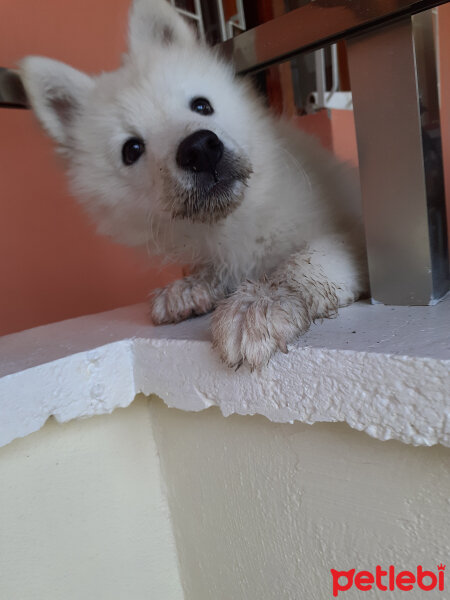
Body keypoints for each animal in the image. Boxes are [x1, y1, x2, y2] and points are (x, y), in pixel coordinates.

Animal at [19, 0, 368, 368]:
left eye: (202, 105)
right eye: (131, 150)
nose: (200, 149)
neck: (235, 221)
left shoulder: (352, 236)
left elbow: (301, 262)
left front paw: (258, 303)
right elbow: (214, 269)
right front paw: (190, 287)